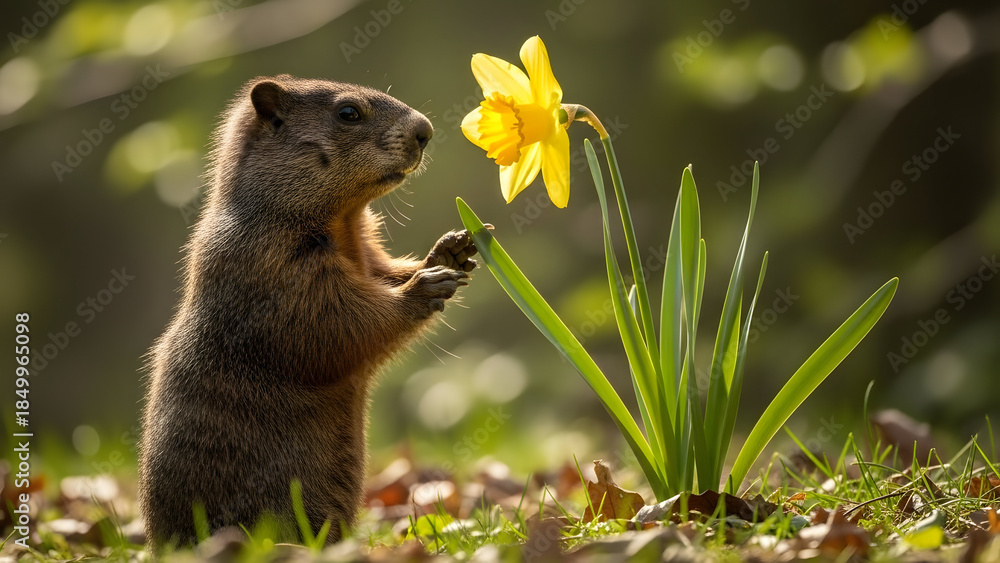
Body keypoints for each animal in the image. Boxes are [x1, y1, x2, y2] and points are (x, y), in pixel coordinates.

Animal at [138, 75, 478, 549]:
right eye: (349, 112)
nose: (425, 130)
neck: (343, 221)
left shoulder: (365, 248)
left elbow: (381, 272)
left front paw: (452, 250)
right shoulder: (274, 260)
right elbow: (333, 315)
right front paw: (422, 287)